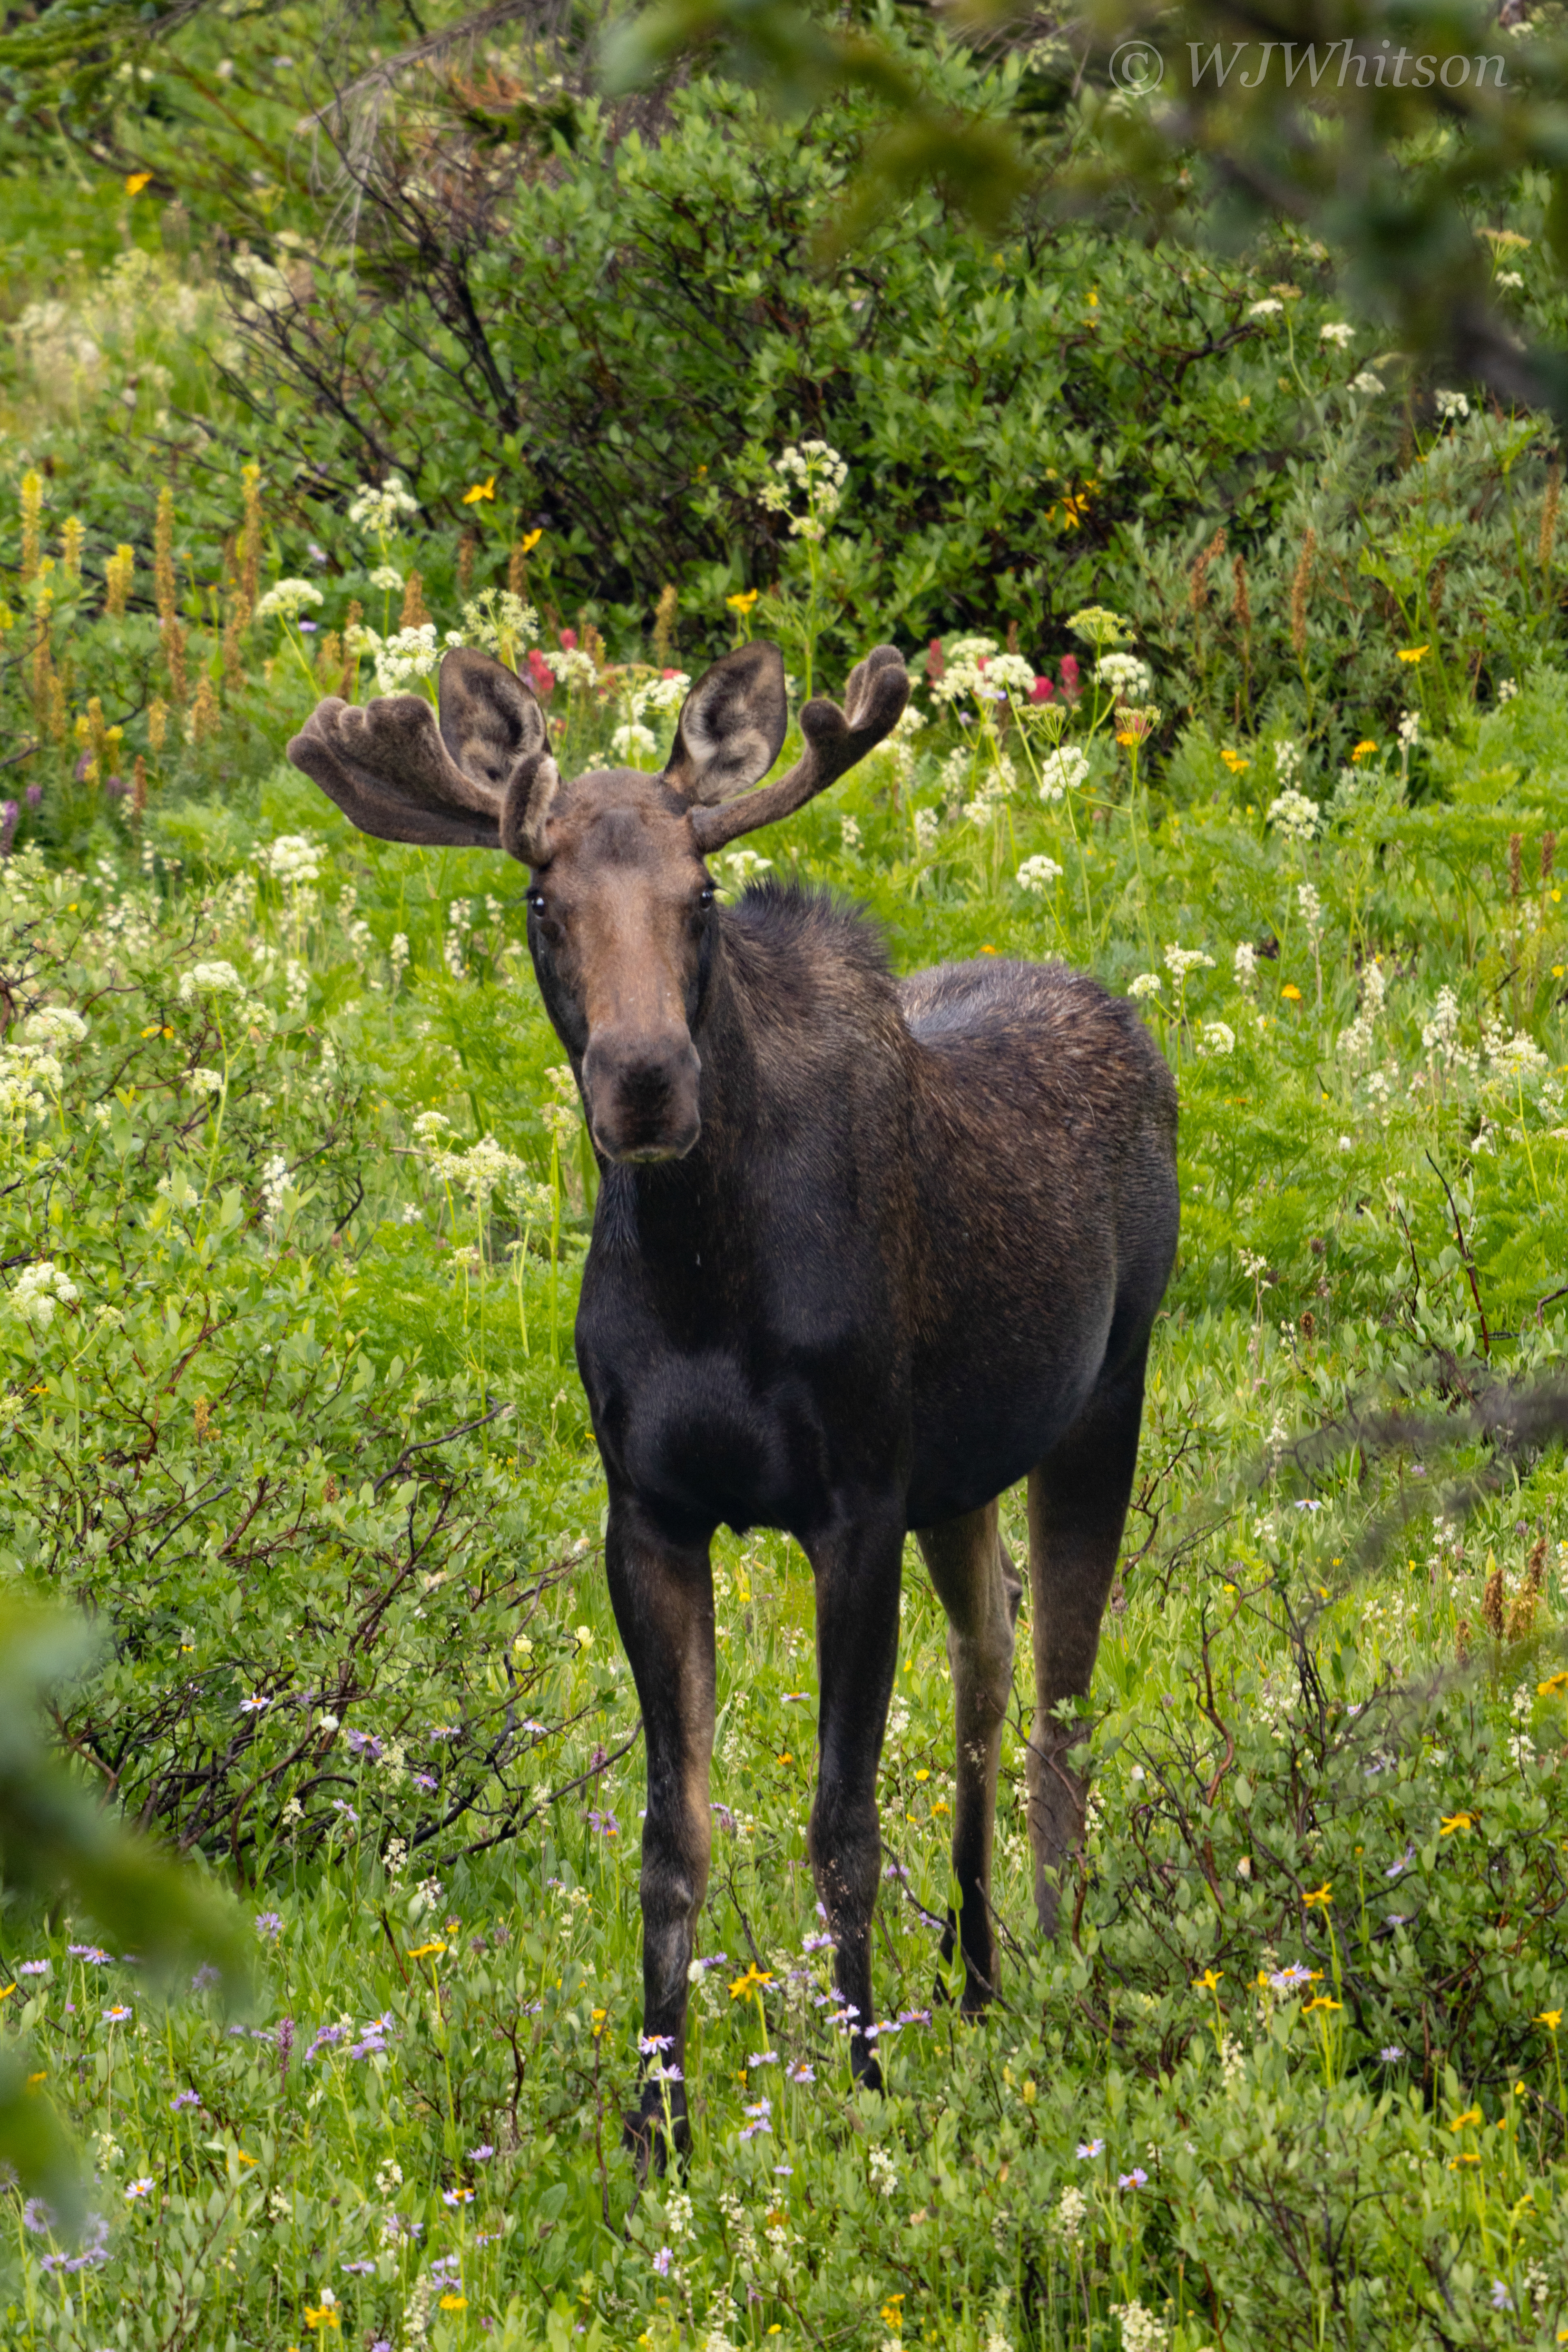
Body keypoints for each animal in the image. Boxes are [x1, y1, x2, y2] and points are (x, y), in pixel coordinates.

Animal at [289, 637, 1179, 2153]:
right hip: (959, 1477)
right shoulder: (649, 1511)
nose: (645, 1078)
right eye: (541, 899)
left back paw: (1058, 1968)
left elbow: (840, 1825)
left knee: (1061, 1707)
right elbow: (672, 1834)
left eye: (698, 897)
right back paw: (977, 1976)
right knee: (988, 1671)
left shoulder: (853, 1505)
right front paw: (659, 2124)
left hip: (1106, 1394)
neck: (709, 1286)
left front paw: (863, 2085)